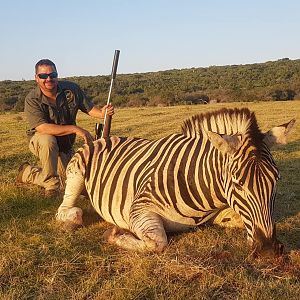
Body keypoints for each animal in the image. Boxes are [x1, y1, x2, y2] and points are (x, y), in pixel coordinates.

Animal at [56, 106, 296, 256]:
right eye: (238, 183)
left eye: (276, 179)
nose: (268, 250)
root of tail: (105, 137)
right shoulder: (139, 209)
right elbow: (157, 244)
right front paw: (114, 234)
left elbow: (239, 220)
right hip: (76, 174)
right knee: (67, 210)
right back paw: (71, 220)